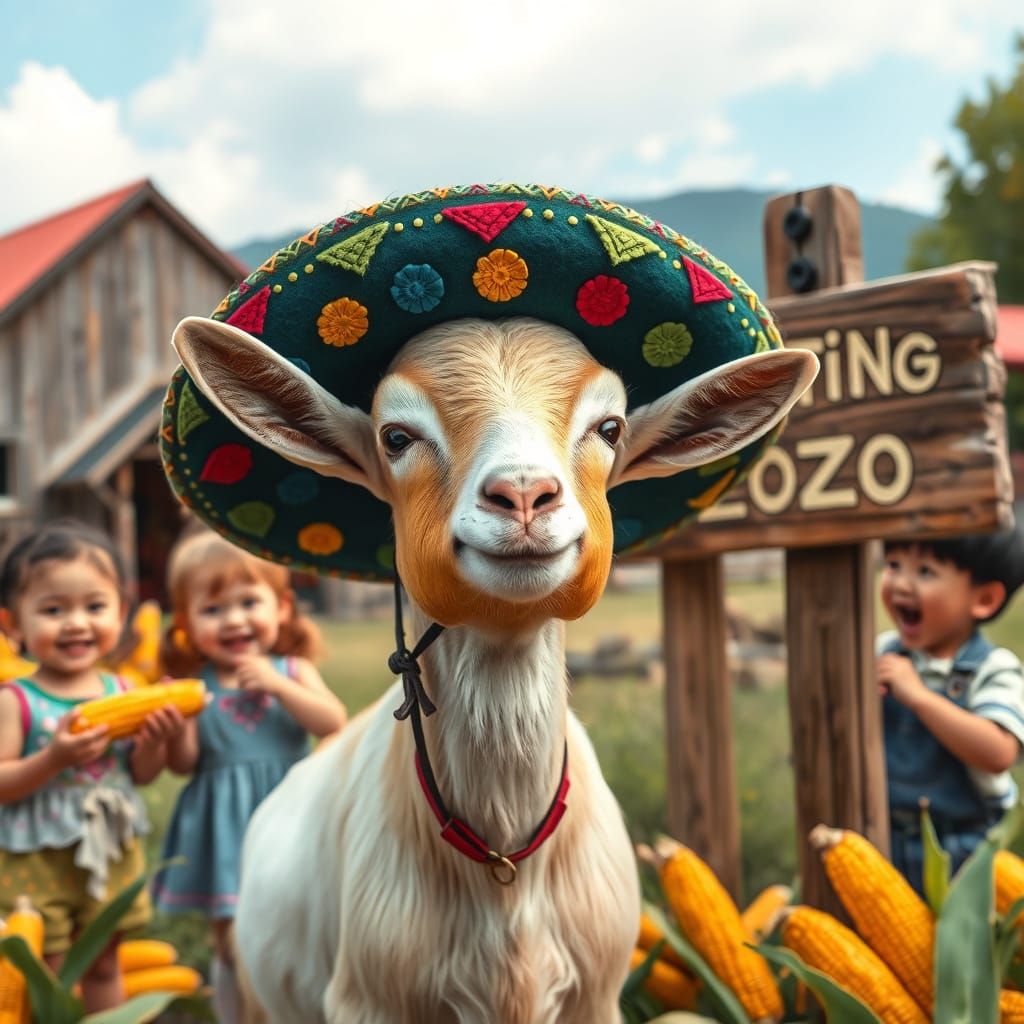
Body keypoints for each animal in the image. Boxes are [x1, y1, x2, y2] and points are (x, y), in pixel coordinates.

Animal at [172, 314, 816, 1024]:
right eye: (395, 437)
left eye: (610, 427)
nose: (525, 494)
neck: (507, 863)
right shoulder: (370, 999)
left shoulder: (597, 997)